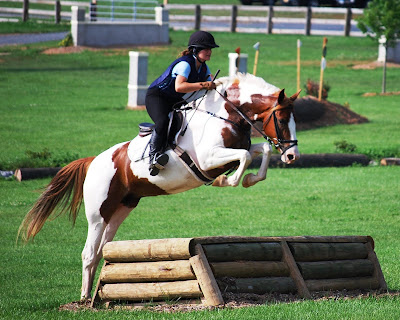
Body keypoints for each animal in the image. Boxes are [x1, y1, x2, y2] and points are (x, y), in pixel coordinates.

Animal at [18, 72, 300, 300]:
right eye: (281, 119)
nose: (292, 156)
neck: (226, 115)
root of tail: (93, 161)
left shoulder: (233, 151)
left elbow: (259, 150)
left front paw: (250, 179)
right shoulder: (209, 159)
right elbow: (245, 156)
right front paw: (227, 181)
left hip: (121, 209)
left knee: (102, 250)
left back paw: (91, 293)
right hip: (98, 213)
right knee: (88, 253)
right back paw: (85, 298)